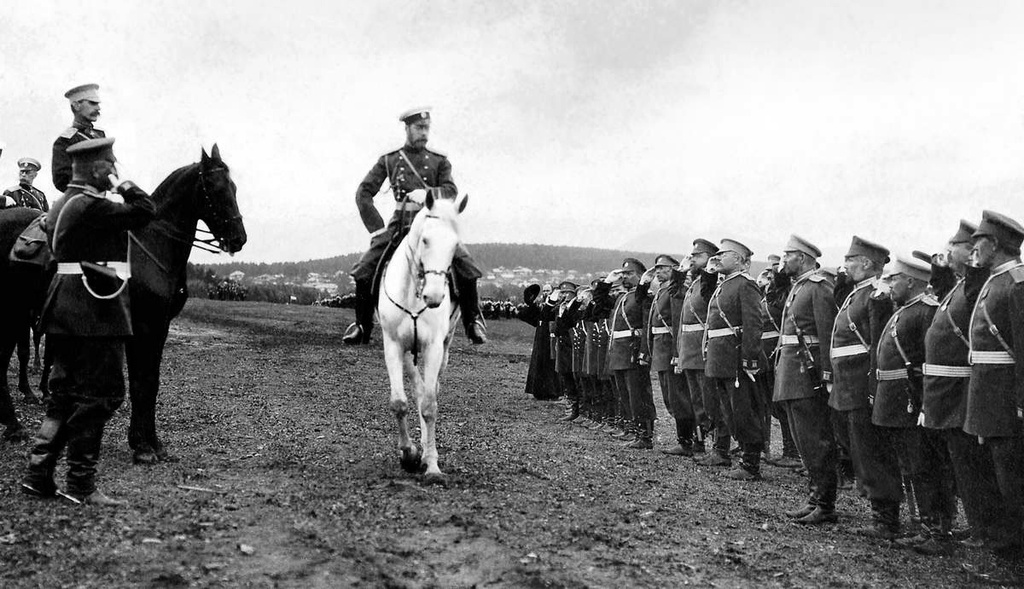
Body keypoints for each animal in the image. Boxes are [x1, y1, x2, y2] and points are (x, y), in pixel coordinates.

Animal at [0, 146, 245, 460]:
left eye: (233, 187)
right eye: (215, 186)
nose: (239, 239)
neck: (151, 245)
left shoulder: (159, 328)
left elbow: (151, 381)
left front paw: (152, 442)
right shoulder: (143, 327)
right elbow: (142, 382)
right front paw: (142, 445)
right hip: (13, 314)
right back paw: (15, 423)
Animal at [378, 192, 468, 483]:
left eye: (454, 245)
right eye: (425, 239)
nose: (435, 296)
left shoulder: (433, 348)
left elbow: (430, 406)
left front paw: (432, 465)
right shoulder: (393, 346)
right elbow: (399, 403)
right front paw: (408, 454)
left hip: (444, 349)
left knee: (429, 392)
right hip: (408, 354)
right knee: (417, 390)